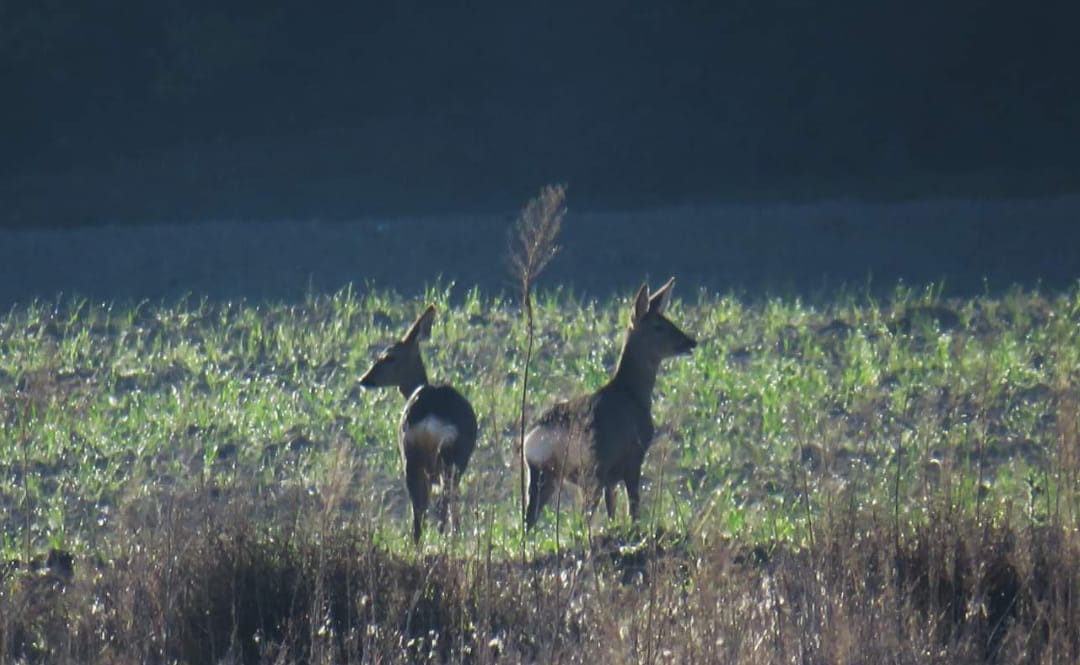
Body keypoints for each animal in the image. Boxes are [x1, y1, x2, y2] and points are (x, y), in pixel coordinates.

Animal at [358, 306, 477, 546]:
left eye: (388, 356)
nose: (364, 379)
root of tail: (430, 418)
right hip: (447, 458)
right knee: (441, 502)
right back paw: (445, 538)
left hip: (412, 455)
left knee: (420, 508)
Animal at [524, 278, 695, 526]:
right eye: (659, 327)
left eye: (669, 321)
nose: (690, 342)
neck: (633, 394)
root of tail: (541, 434)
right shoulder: (633, 455)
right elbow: (633, 507)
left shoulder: (611, 477)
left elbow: (612, 510)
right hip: (591, 468)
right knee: (583, 517)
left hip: (541, 472)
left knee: (528, 519)